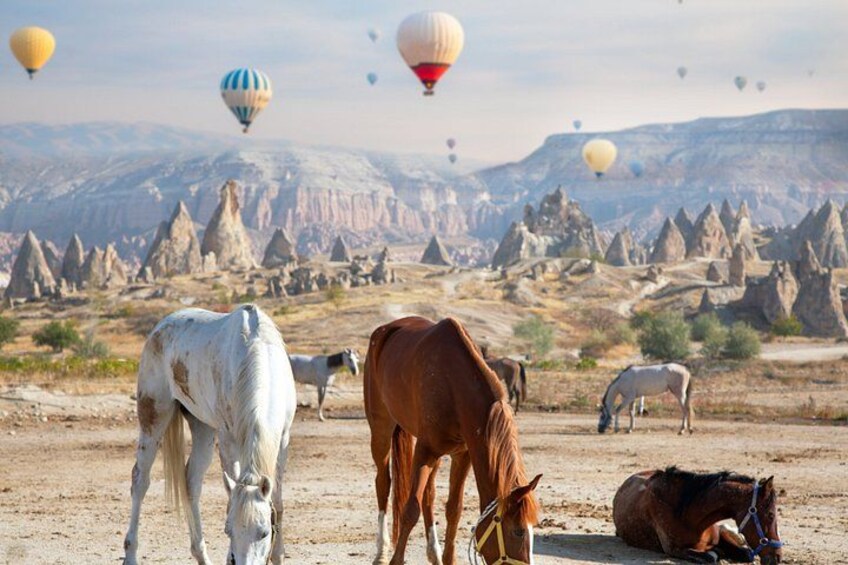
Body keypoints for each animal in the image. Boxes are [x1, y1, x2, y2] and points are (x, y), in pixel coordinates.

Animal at [122, 305, 297, 565]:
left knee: (191, 483)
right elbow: (231, 497)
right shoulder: (227, 441)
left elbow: (277, 502)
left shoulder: (283, 441)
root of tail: (159, 328)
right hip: (153, 417)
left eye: (264, 532)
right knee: (140, 481)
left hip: (202, 428)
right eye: (228, 530)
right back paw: (131, 554)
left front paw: (278, 555)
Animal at [364, 316, 541, 565]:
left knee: (428, 496)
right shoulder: (425, 450)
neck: (453, 385)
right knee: (383, 483)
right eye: (518, 531)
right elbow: (411, 509)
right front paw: (395, 560)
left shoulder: (462, 454)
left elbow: (453, 509)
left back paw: (434, 553)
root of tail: (385, 330)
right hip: (381, 429)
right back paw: (381, 552)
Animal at [613, 467, 783, 564]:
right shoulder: (675, 550)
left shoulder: (718, 533)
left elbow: (746, 553)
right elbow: (711, 556)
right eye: (770, 515)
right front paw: (717, 552)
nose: (778, 557)